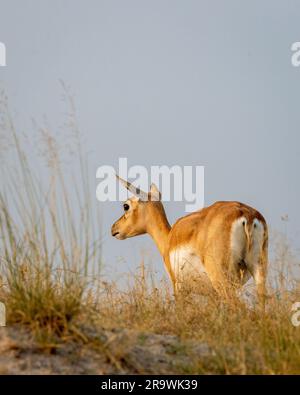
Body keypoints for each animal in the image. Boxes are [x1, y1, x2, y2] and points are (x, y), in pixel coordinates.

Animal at [110, 176, 268, 306]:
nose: (114, 228)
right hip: (258, 270)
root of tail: (246, 214)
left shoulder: (178, 286)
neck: (169, 238)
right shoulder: (213, 295)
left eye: (126, 206)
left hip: (221, 278)